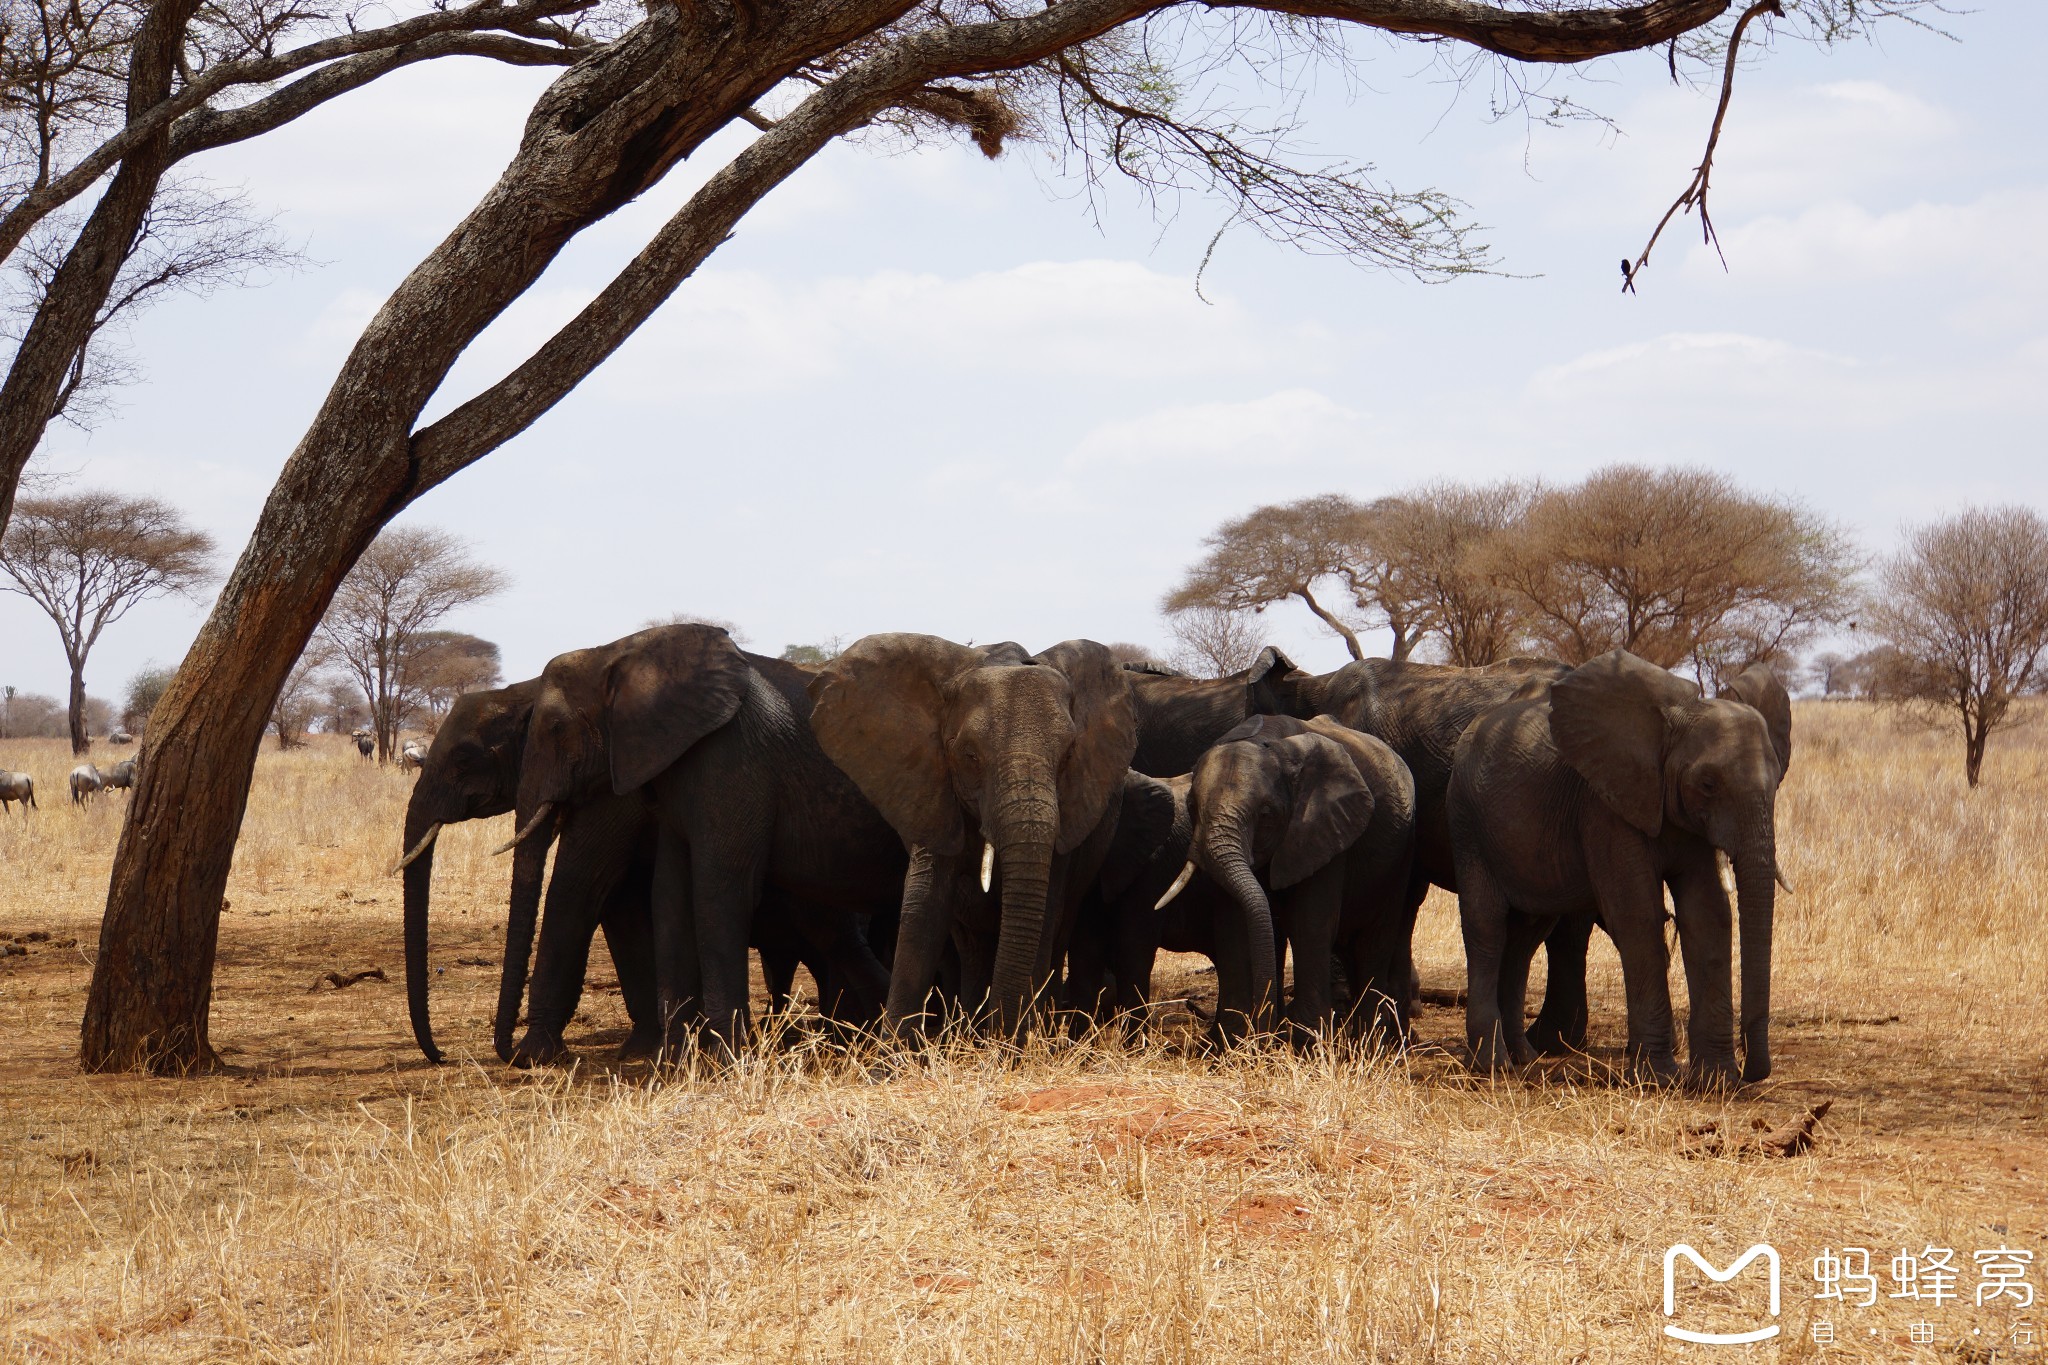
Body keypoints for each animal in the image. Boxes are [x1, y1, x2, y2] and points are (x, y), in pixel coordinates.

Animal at [499, 626, 901, 1064]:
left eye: (557, 728)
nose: (508, 1054)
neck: (617, 651)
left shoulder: (731, 759)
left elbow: (717, 890)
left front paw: (727, 1059)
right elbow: (669, 894)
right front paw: (676, 1059)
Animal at [811, 634, 1146, 1039]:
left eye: (1068, 756)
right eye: (969, 755)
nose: (1004, 1034)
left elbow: (1045, 911)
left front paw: (1018, 1044)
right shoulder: (930, 789)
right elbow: (924, 906)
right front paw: (893, 1053)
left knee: (1057, 930)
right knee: (971, 942)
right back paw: (971, 1029)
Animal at [1441, 650, 1794, 1088]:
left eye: (1778, 780)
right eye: (1708, 784)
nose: (1752, 1071)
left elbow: (1708, 915)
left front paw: (1716, 1081)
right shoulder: (1604, 805)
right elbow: (1638, 916)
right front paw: (1659, 1080)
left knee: (1525, 936)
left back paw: (1522, 1057)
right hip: (1467, 822)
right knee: (1487, 929)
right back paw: (1491, 1065)